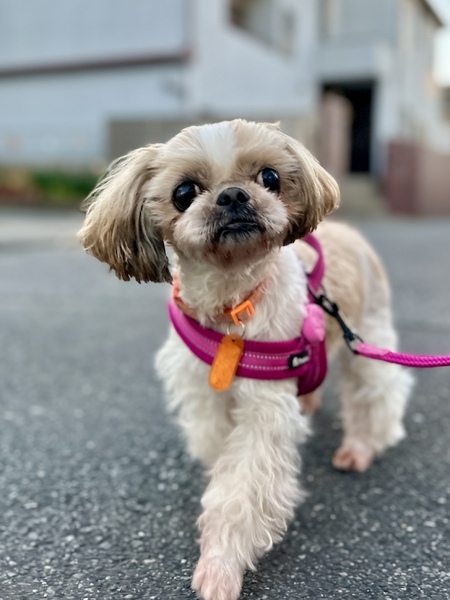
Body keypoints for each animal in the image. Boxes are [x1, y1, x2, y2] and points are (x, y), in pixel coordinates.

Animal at [78, 119, 413, 600]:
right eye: (184, 192)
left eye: (269, 177)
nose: (234, 195)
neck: (232, 304)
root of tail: (349, 233)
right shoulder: (203, 393)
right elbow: (219, 449)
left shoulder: (264, 410)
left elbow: (242, 485)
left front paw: (220, 564)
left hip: (367, 332)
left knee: (377, 393)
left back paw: (360, 447)